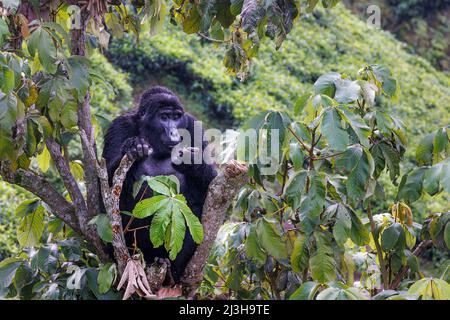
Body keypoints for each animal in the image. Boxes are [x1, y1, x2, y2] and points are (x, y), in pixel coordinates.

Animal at [104, 85, 220, 282]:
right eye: (164, 117)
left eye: (176, 117)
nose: (174, 133)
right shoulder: (119, 125)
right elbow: (106, 186)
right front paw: (133, 146)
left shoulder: (193, 125)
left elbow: (212, 187)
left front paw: (191, 161)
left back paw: (171, 266)